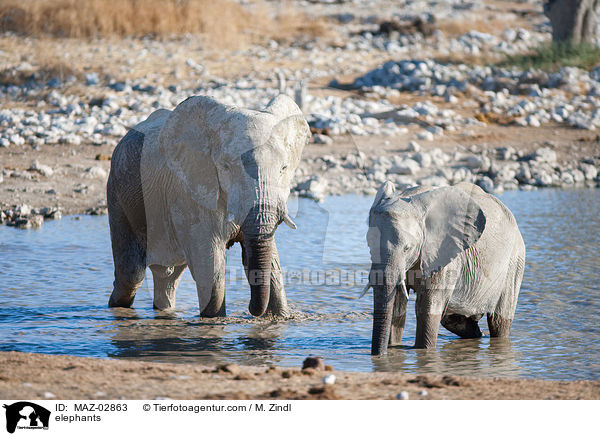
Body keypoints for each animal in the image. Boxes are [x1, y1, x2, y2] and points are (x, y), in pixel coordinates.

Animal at [105, 94, 310, 316]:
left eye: (284, 168)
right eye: (226, 167)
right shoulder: (190, 195)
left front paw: (280, 318)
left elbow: (271, 262)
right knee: (131, 275)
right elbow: (211, 265)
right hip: (118, 191)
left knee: (168, 276)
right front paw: (215, 320)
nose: (250, 310)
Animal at [360, 181, 524, 354]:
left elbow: (427, 308)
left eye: (407, 248)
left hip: (515, 261)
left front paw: (423, 352)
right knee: (452, 320)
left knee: (499, 323)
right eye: (369, 246)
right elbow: (397, 307)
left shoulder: (444, 254)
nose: (379, 355)